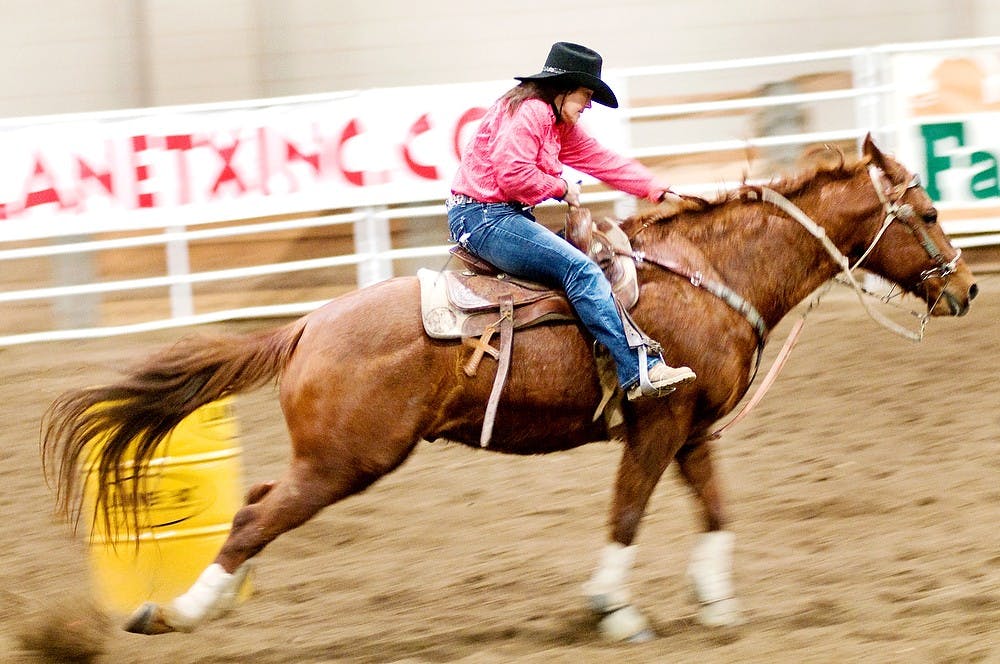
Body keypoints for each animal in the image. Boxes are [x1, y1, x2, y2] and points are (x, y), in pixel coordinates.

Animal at [43, 137, 972, 640]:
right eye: (927, 213)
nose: (964, 287)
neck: (712, 274)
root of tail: (304, 327)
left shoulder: (693, 428)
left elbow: (716, 512)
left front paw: (715, 606)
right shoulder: (655, 423)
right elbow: (627, 514)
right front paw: (613, 610)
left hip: (329, 461)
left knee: (252, 504)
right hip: (346, 463)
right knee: (254, 519)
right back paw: (179, 614)